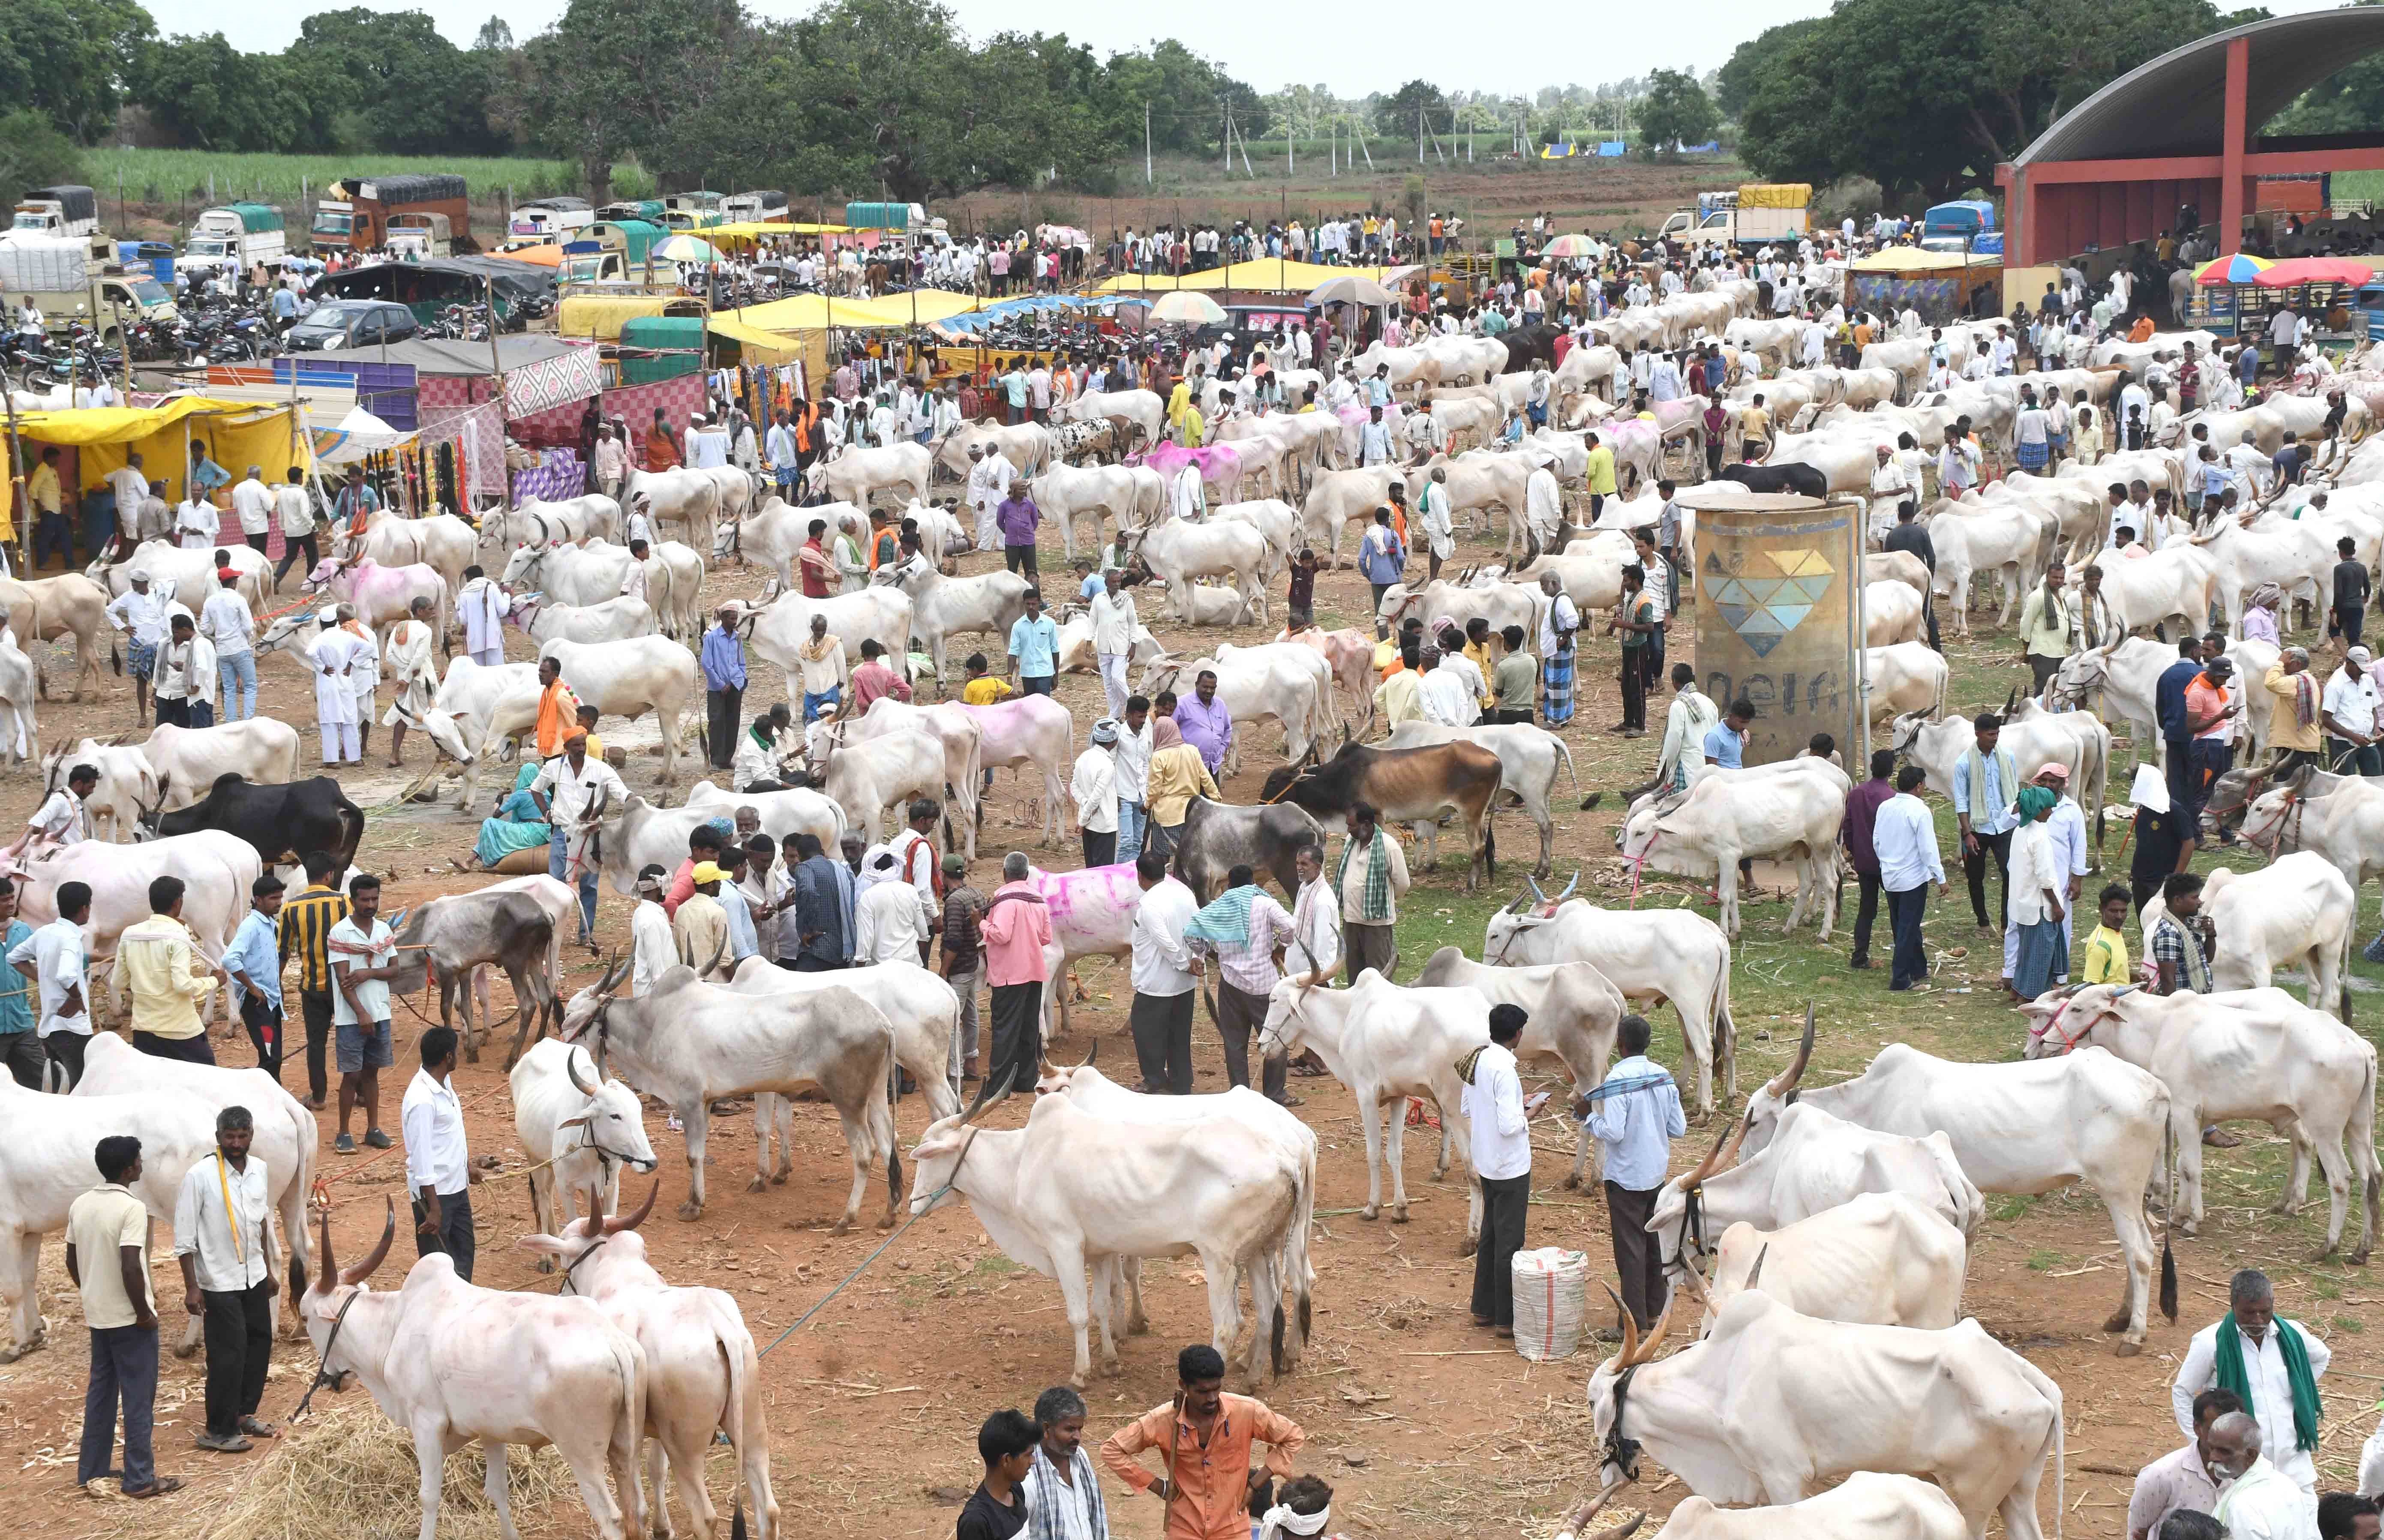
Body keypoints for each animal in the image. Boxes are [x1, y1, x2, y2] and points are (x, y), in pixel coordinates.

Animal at [1258, 739, 1497, 891]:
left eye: (1273, 781)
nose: (1260, 804)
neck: (1341, 777)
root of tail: (1494, 758)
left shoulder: (1375, 816)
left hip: (1471, 814)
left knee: (1478, 847)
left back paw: (1470, 887)